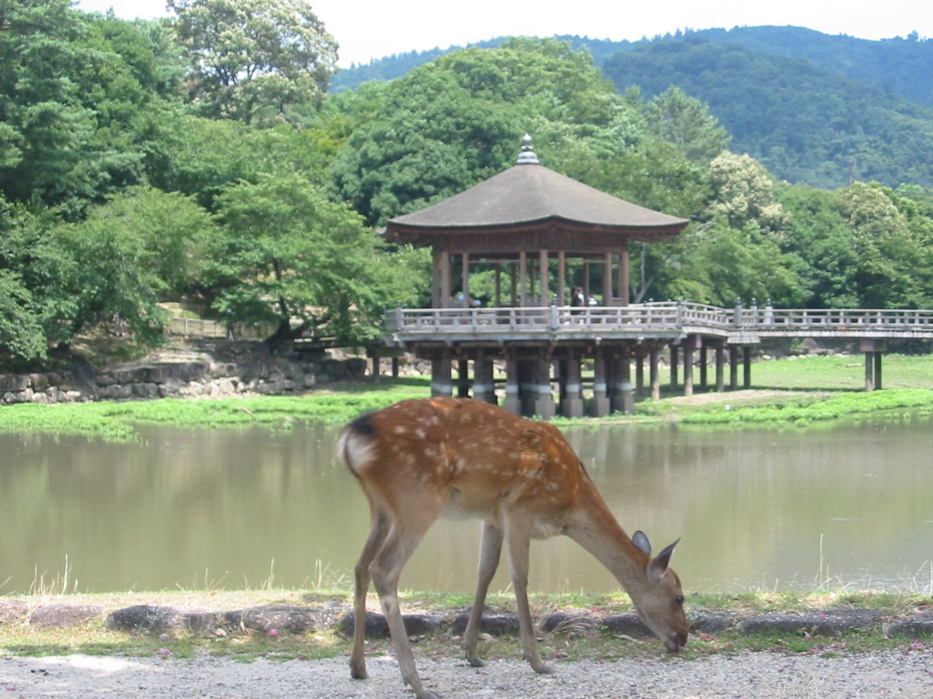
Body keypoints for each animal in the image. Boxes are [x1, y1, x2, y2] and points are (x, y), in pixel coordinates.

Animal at [338, 400, 688, 699]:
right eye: (679, 597)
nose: (682, 638)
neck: (570, 505)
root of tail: (350, 438)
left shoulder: (492, 516)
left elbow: (485, 571)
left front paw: (472, 652)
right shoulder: (520, 509)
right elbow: (520, 576)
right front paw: (537, 660)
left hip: (381, 506)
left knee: (360, 566)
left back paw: (359, 667)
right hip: (418, 497)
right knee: (384, 567)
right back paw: (416, 682)